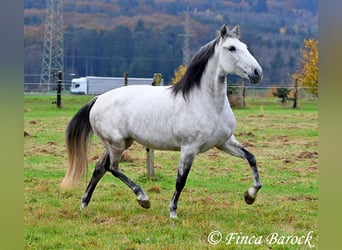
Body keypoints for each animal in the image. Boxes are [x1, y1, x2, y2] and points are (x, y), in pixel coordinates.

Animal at [61, 24, 264, 218]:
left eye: (245, 46)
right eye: (231, 48)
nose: (257, 73)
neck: (206, 103)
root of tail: (97, 99)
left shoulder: (224, 142)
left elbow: (251, 158)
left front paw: (250, 196)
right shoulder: (189, 148)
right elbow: (181, 180)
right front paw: (172, 212)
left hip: (121, 143)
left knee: (99, 168)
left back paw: (84, 204)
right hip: (116, 144)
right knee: (112, 167)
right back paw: (143, 198)